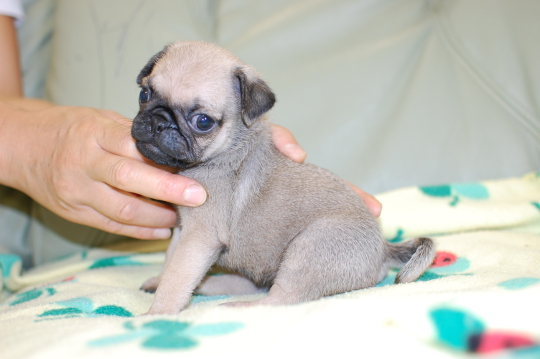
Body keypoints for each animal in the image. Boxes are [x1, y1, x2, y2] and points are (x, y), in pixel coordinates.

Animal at [132, 41, 434, 316]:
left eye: (203, 122)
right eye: (144, 94)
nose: (158, 122)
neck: (229, 148)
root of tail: (383, 248)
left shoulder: (199, 236)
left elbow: (178, 275)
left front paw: (156, 314)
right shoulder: (184, 229)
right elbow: (170, 261)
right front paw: (159, 281)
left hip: (311, 247)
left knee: (282, 298)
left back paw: (236, 307)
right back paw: (208, 286)